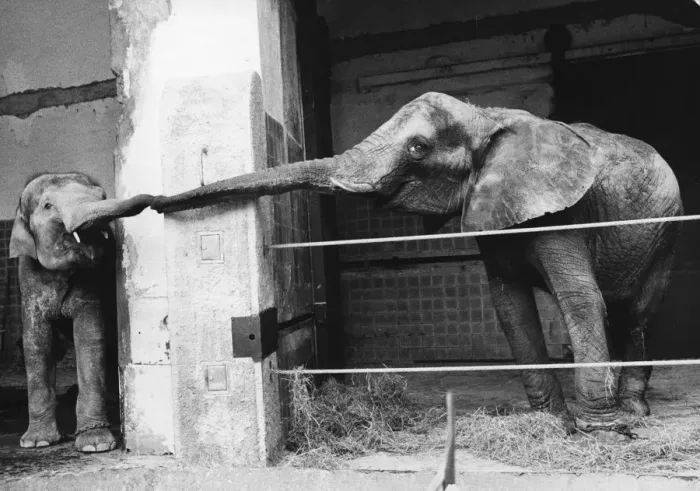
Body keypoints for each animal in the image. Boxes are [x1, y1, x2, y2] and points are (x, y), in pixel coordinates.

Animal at [9, 172, 154, 452]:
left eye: (102, 196)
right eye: (47, 206)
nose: (155, 199)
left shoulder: (93, 281)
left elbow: (89, 337)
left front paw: (94, 446)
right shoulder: (27, 278)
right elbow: (37, 342)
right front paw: (36, 442)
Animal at [151, 92, 682, 435]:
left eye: (418, 148)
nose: (149, 203)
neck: (487, 117)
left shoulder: (564, 209)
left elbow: (577, 297)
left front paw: (601, 430)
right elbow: (510, 306)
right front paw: (550, 423)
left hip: (668, 229)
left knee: (637, 313)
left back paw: (634, 413)